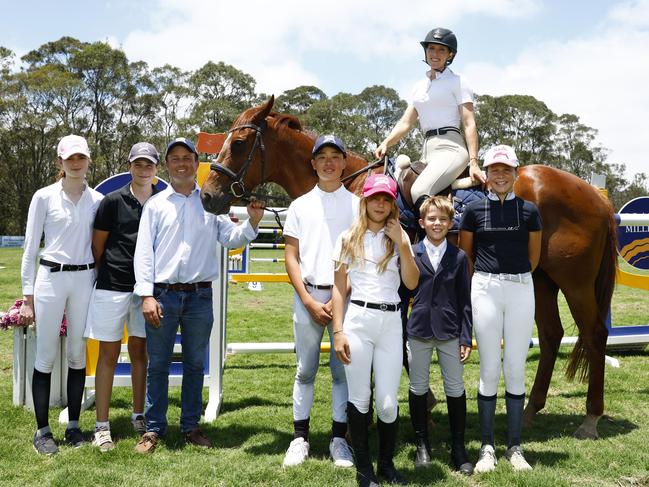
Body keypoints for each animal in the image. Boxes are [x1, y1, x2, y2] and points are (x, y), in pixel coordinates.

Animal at [200, 95, 616, 438]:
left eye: (239, 144)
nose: (207, 195)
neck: (353, 190)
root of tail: (595, 196)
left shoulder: (399, 291)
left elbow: (399, 349)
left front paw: (419, 407)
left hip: (575, 284)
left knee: (594, 334)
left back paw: (590, 418)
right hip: (543, 281)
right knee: (552, 335)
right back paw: (530, 411)